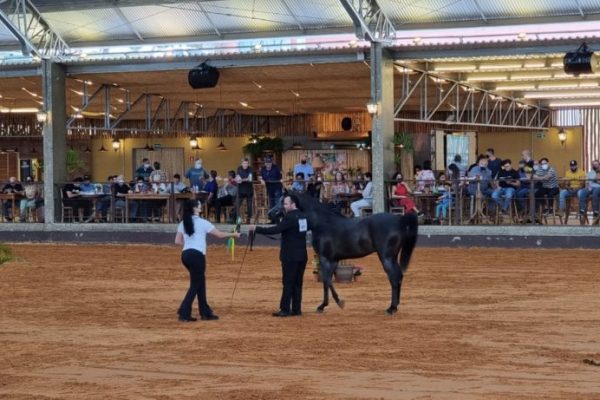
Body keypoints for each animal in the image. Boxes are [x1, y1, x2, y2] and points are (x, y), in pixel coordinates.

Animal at [270, 191, 418, 316]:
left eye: (282, 201)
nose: (270, 213)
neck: (322, 223)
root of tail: (399, 220)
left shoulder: (325, 258)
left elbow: (326, 280)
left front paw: (331, 304)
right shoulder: (333, 260)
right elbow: (328, 281)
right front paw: (328, 304)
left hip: (386, 258)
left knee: (394, 278)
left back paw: (391, 308)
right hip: (392, 257)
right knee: (399, 276)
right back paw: (395, 306)